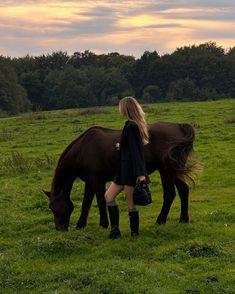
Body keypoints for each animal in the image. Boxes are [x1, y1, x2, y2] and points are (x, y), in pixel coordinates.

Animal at [43, 121, 196, 230]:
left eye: (54, 206)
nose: (60, 228)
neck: (82, 149)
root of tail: (179, 127)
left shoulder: (97, 179)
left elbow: (100, 200)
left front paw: (103, 224)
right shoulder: (89, 181)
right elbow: (86, 202)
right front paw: (81, 224)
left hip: (166, 171)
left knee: (169, 194)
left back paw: (160, 220)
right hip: (175, 171)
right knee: (184, 190)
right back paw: (184, 219)